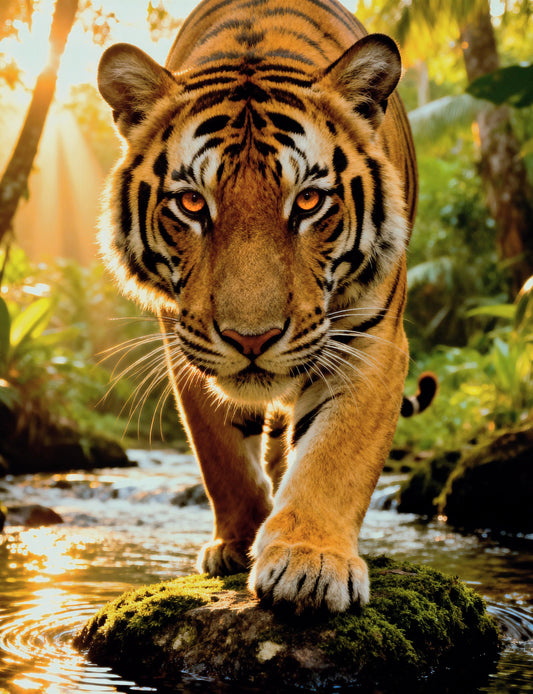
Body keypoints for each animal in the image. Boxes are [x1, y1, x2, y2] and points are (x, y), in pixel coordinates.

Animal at [97, 0, 432, 614]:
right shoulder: (184, 345)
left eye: (308, 201)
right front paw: (237, 542)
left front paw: (310, 562)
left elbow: (334, 456)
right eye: (191, 204)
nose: (251, 339)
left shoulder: (370, 342)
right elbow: (222, 459)